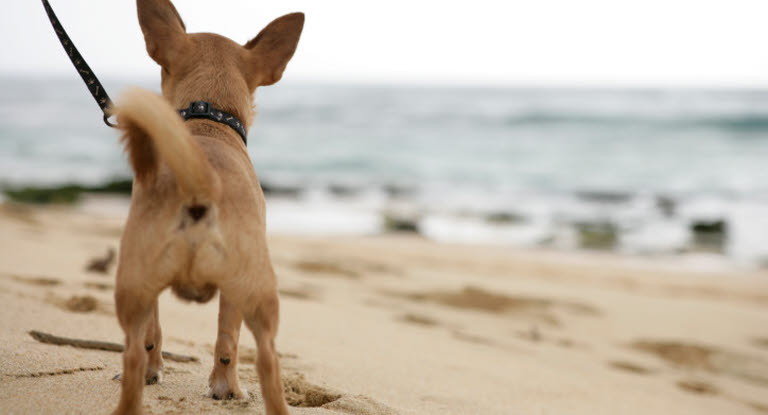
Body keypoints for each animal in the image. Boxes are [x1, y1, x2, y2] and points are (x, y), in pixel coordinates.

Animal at [110, 1, 304, 414]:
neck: (207, 118)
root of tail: (198, 181)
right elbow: (226, 339)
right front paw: (224, 387)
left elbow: (154, 334)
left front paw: (156, 371)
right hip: (258, 293)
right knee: (266, 361)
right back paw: (237, 390)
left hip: (135, 285)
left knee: (134, 352)